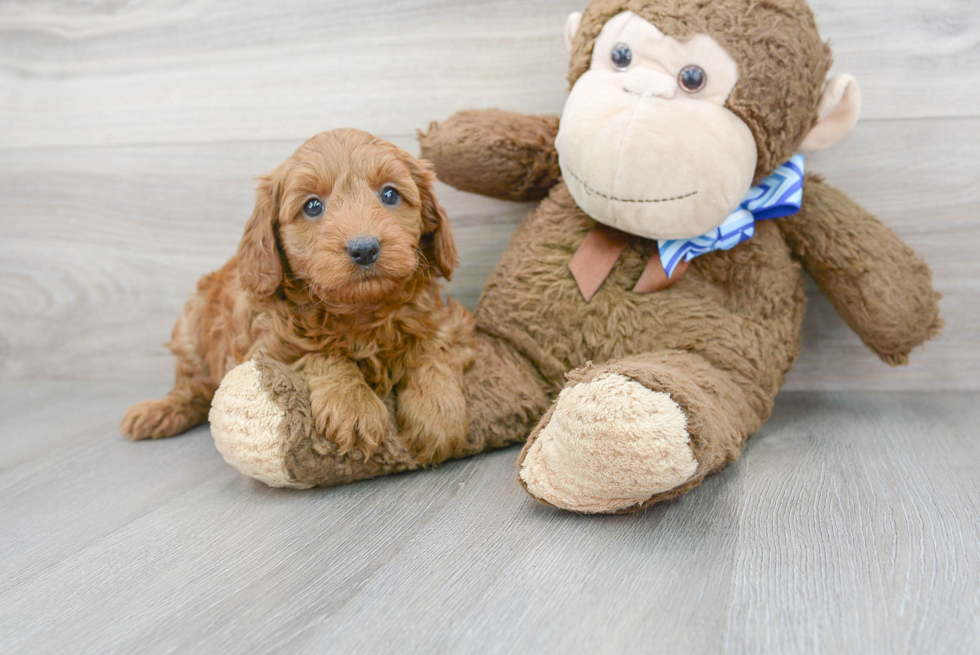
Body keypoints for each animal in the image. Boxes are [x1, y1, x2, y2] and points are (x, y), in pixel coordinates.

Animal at [120, 129, 472, 462]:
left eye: (390, 194)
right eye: (313, 206)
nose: (364, 248)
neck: (359, 312)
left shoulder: (449, 322)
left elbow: (432, 349)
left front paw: (437, 414)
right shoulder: (268, 349)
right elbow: (320, 353)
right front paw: (353, 405)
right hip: (190, 330)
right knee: (191, 386)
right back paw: (158, 412)